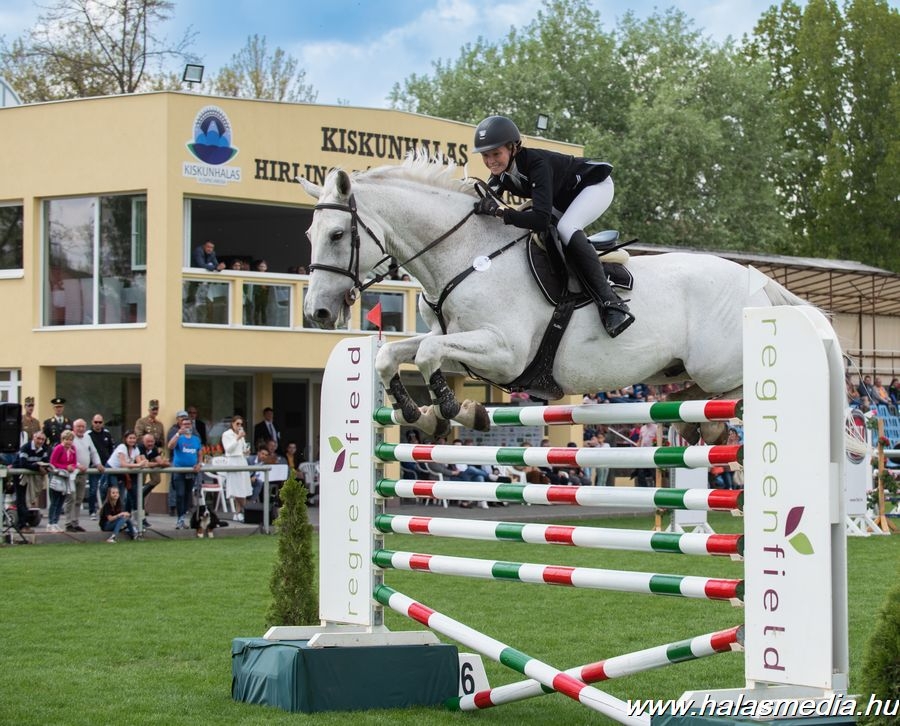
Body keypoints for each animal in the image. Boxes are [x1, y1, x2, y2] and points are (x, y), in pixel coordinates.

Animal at [298, 154, 809, 443]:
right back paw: (691, 422)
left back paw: (711, 424)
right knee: (697, 395)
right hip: (684, 368)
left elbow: (425, 353)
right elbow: (393, 354)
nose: (317, 312)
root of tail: (756, 278)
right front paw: (424, 419)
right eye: (308, 234)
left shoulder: (504, 352)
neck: (467, 255)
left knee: (737, 390)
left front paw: (458, 411)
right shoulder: (469, 348)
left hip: (719, 363)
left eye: (338, 234)